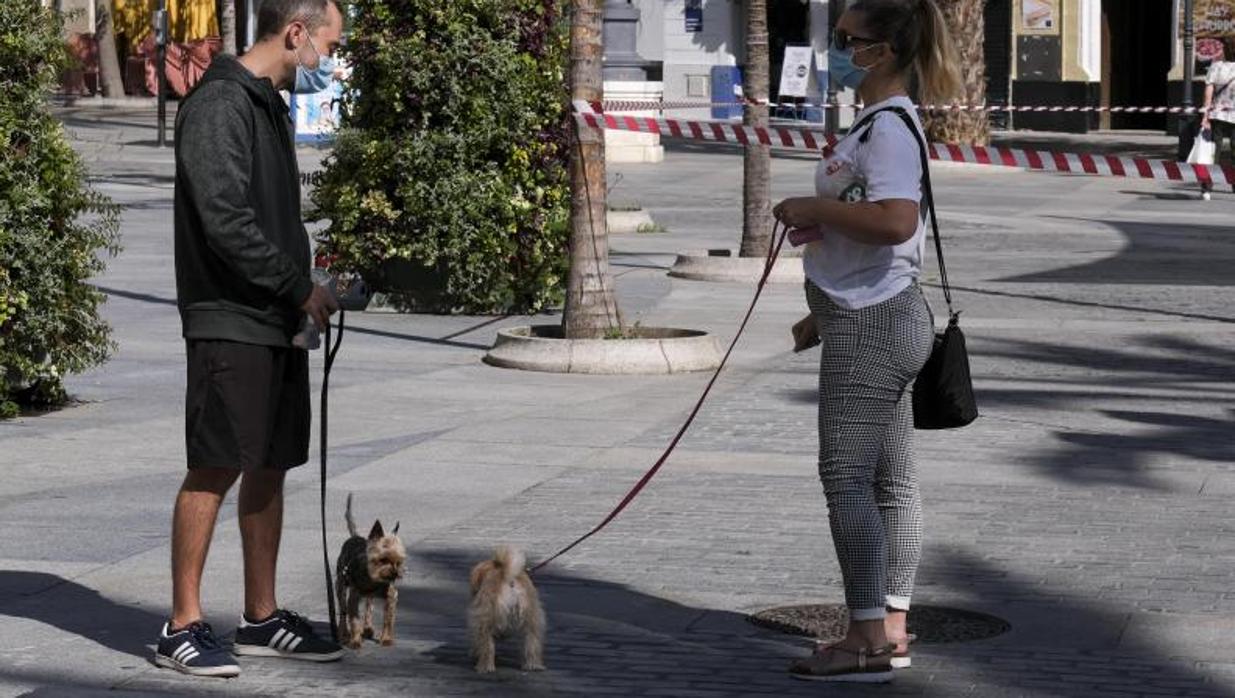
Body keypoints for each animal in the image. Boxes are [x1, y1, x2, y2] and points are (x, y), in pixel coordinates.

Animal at [335, 489, 407, 647]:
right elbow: (354, 619)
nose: (395, 574)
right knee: (343, 610)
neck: (373, 580)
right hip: (341, 584)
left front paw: (386, 638)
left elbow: (388, 619)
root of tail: (355, 537)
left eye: (399, 562)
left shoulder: (391, 596)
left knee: (369, 606)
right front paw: (355, 641)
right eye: (383, 559)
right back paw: (344, 634)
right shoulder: (354, 597)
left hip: (368, 596)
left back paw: (367, 628)